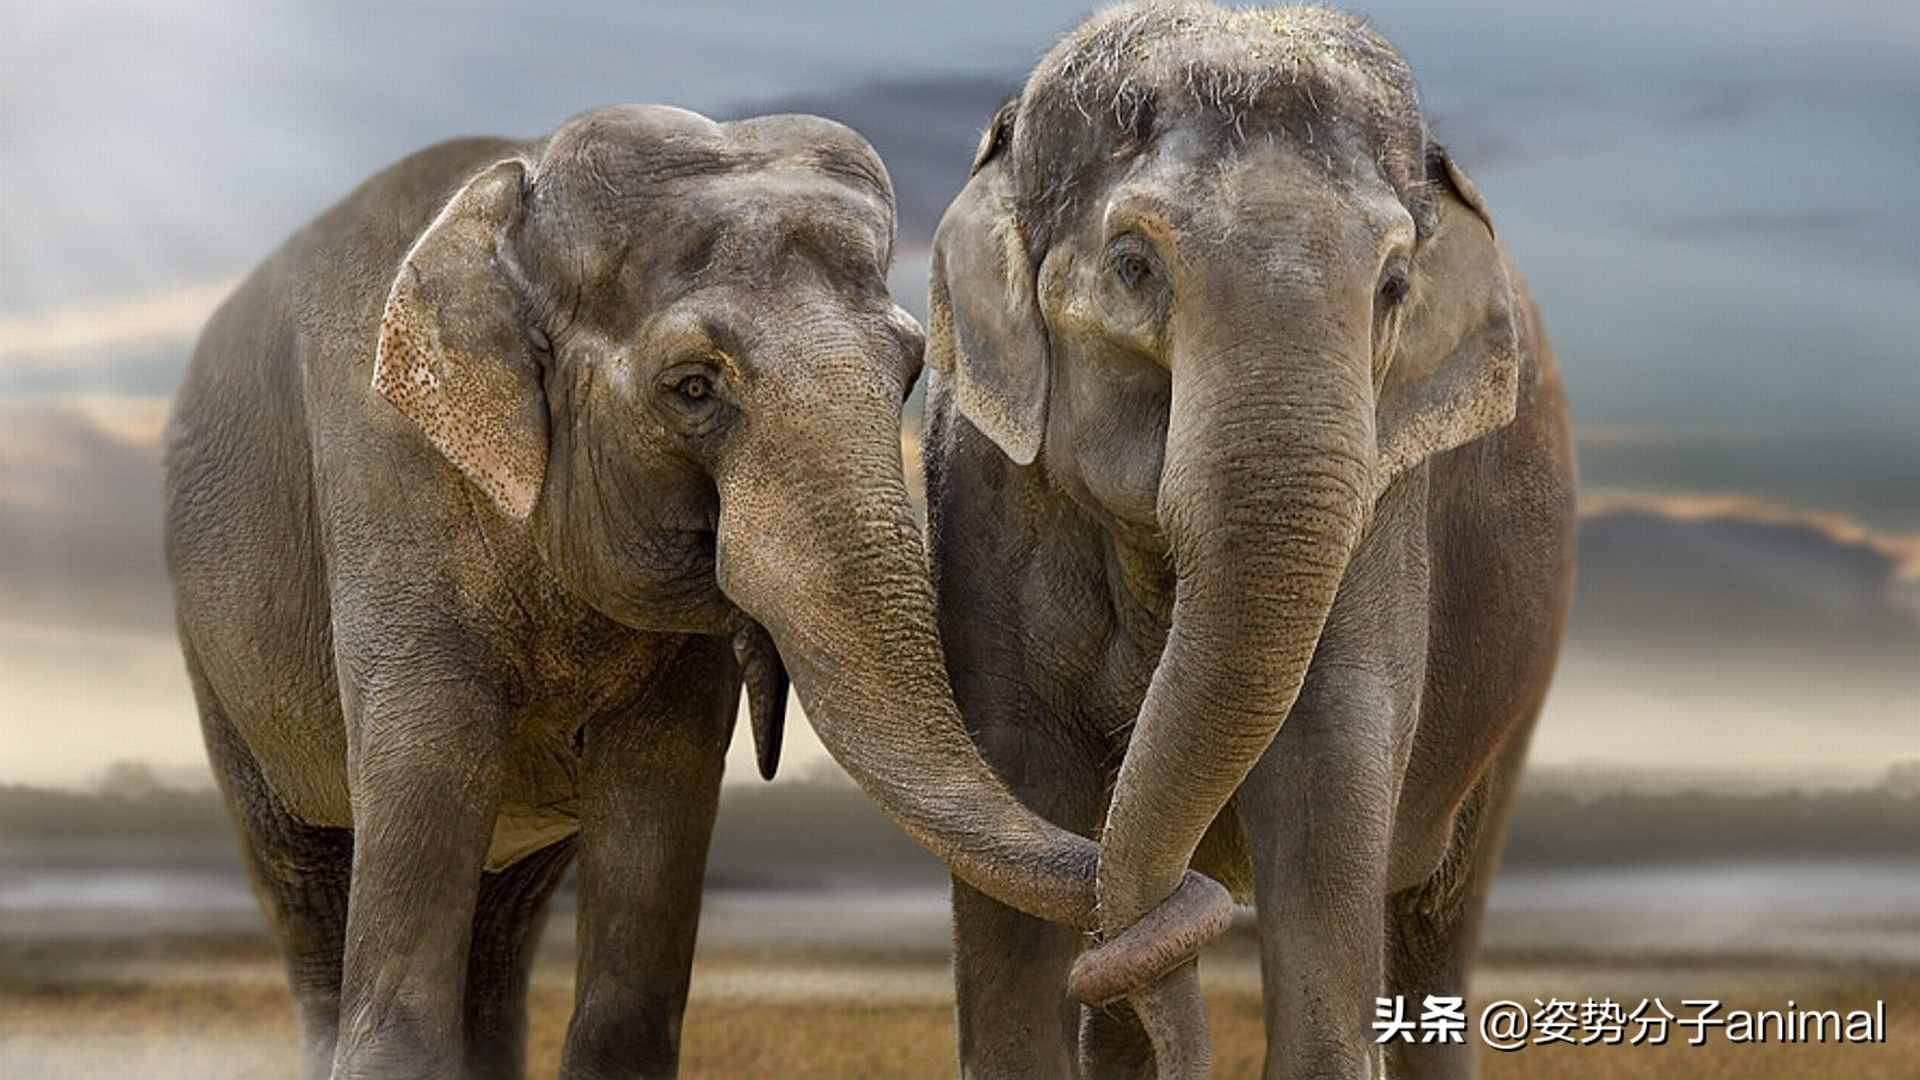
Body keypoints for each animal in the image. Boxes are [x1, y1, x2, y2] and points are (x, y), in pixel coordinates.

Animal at [157, 107, 1221, 1076]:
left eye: (913, 367)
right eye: (694, 388)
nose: (1191, 901)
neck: (520, 200)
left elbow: (658, 809)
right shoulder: (389, 482)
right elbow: (427, 766)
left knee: (501, 926)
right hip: (219, 663)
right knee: (303, 884)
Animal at [925, 4, 1574, 1068]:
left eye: (1395, 285)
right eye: (1134, 265)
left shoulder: (1385, 508)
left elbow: (1326, 779)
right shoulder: (984, 495)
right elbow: (1016, 800)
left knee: (1436, 923)